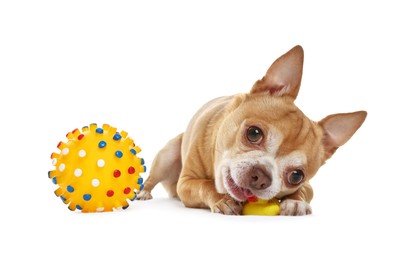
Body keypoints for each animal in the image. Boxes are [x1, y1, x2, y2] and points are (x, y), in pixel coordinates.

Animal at [138, 45, 366, 215]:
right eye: (254, 133)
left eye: (296, 176)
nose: (262, 176)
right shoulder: (186, 183)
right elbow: (205, 185)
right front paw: (222, 199)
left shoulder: (308, 186)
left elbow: (302, 193)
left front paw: (295, 202)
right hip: (166, 157)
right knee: (151, 178)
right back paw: (143, 193)